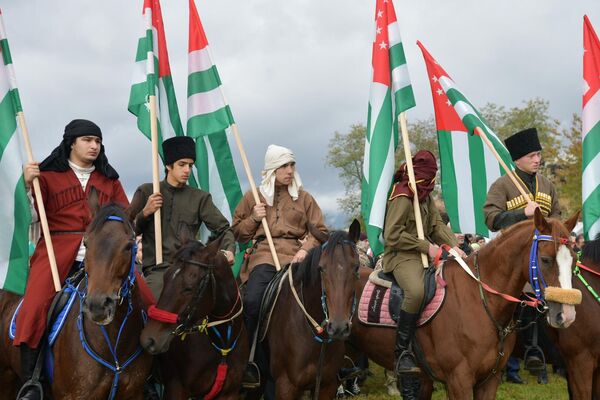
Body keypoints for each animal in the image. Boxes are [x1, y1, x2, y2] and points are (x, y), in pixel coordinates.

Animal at [139, 234, 247, 400]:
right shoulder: (176, 389)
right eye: (165, 277)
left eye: (188, 288)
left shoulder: (230, 393)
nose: (149, 339)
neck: (222, 343)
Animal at [352, 209, 580, 400]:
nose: (566, 315)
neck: (479, 299)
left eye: (574, 260)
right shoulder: (458, 381)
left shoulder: (489, 380)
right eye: (545, 259)